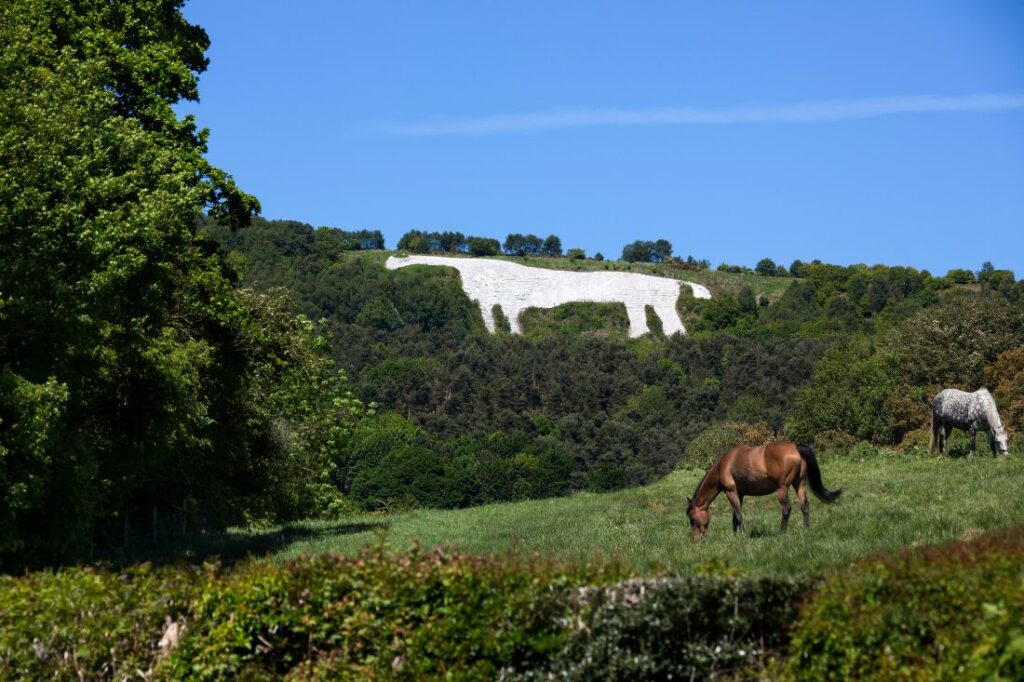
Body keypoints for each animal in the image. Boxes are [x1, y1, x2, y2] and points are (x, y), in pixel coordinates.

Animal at [688, 440, 839, 536]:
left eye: (693, 518)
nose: (695, 539)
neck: (723, 466)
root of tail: (795, 447)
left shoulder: (731, 492)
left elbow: (738, 515)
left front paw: (742, 535)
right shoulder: (739, 494)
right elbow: (735, 516)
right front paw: (736, 535)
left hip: (782, 488)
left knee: (786, 508)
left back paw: (781, 533)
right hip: (800, 484)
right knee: (804, 505)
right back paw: (806, 530)